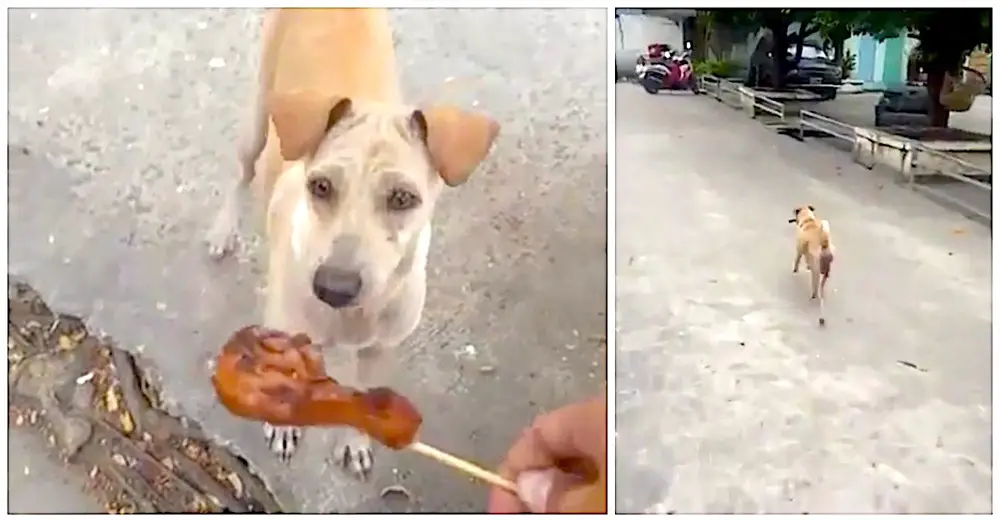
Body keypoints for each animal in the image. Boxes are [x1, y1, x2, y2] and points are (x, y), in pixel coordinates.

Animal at [204, 9, 500, 480]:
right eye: (320, 186)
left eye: (403, 198)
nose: (333, 288)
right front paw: (283, 425)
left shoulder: (381, 349)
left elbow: (365, 394)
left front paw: (355, 439)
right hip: (256, 121)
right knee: (241, 172)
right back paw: (222, 229)